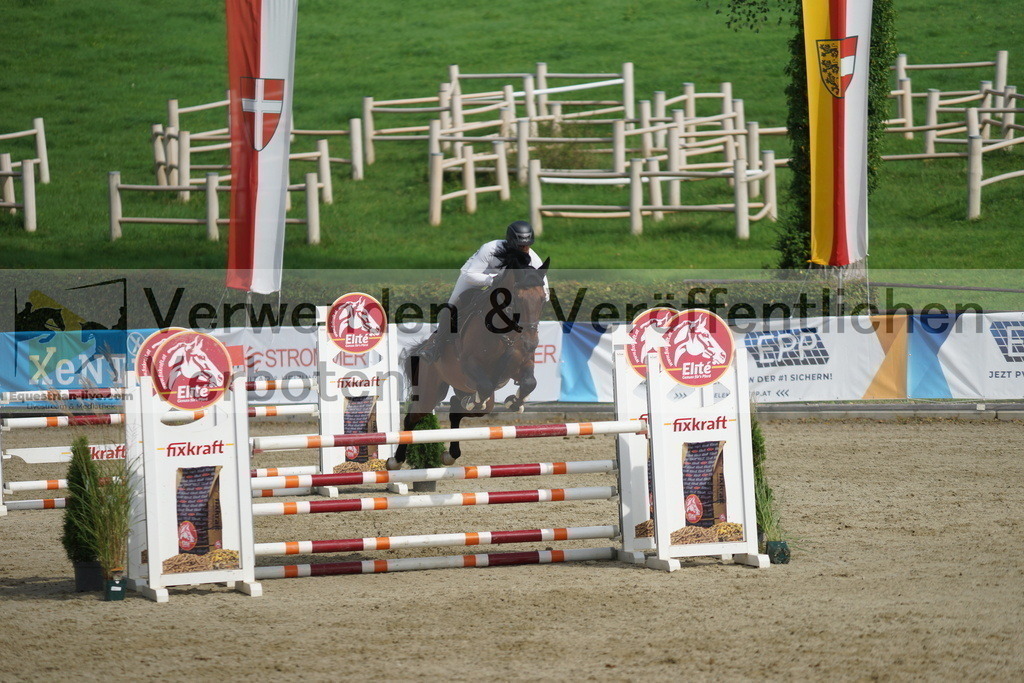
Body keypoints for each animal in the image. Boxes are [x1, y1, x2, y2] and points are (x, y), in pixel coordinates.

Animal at [389, 246, 552, 471]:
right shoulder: (470, 365)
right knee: (413, 418)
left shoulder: (522, 365)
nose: (531, 343)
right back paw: (395, 460)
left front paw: (514, 401)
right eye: (518, 299)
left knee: (457, 409)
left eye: (543, 299)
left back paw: (451, 452)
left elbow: (529, 382)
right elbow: (484, 385)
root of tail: (422, 347)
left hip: (475, 397)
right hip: (431, 391)